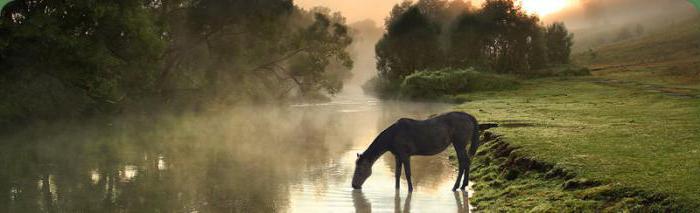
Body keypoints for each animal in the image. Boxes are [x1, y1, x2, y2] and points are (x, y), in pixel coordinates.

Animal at [348, 112, 492, 192]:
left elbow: (407, 174)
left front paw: (410, 190)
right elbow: (397, 174)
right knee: (466, 163)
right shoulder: (398, 156)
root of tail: (469, 116)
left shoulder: (405, 155)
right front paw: (397, 190)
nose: (354, 185)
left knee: (464, 163)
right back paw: (462, 185)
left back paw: (456, 186)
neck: (393, 135)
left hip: (459, 144)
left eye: (360, 170)